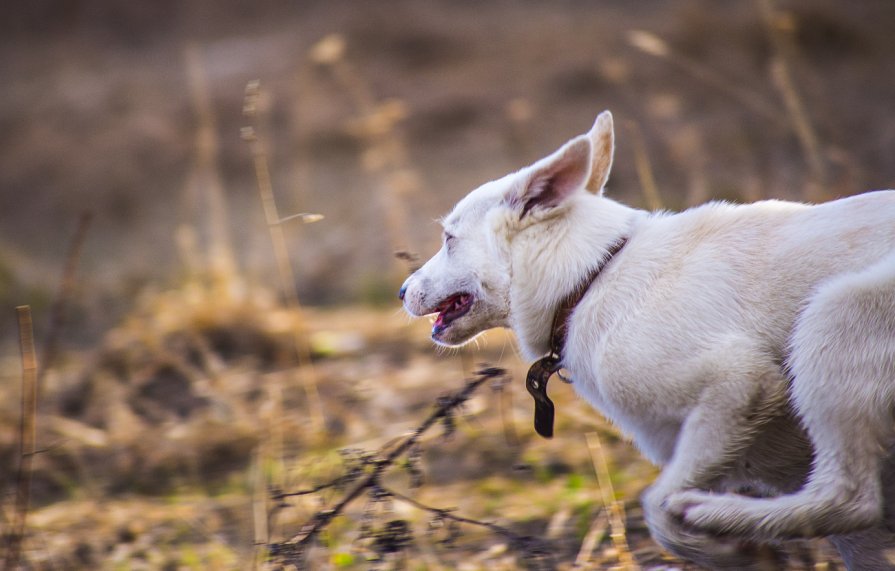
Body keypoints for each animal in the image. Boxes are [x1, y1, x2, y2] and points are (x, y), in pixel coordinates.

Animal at [402, 110, 895, 568]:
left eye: (448, 239)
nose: (402, 292)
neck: (592, 278)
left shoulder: (742, 383)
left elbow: (657, 509)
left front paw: (728, 550)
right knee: (852, 504)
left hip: (835, 313)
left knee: (850, 496)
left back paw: (710, 513)